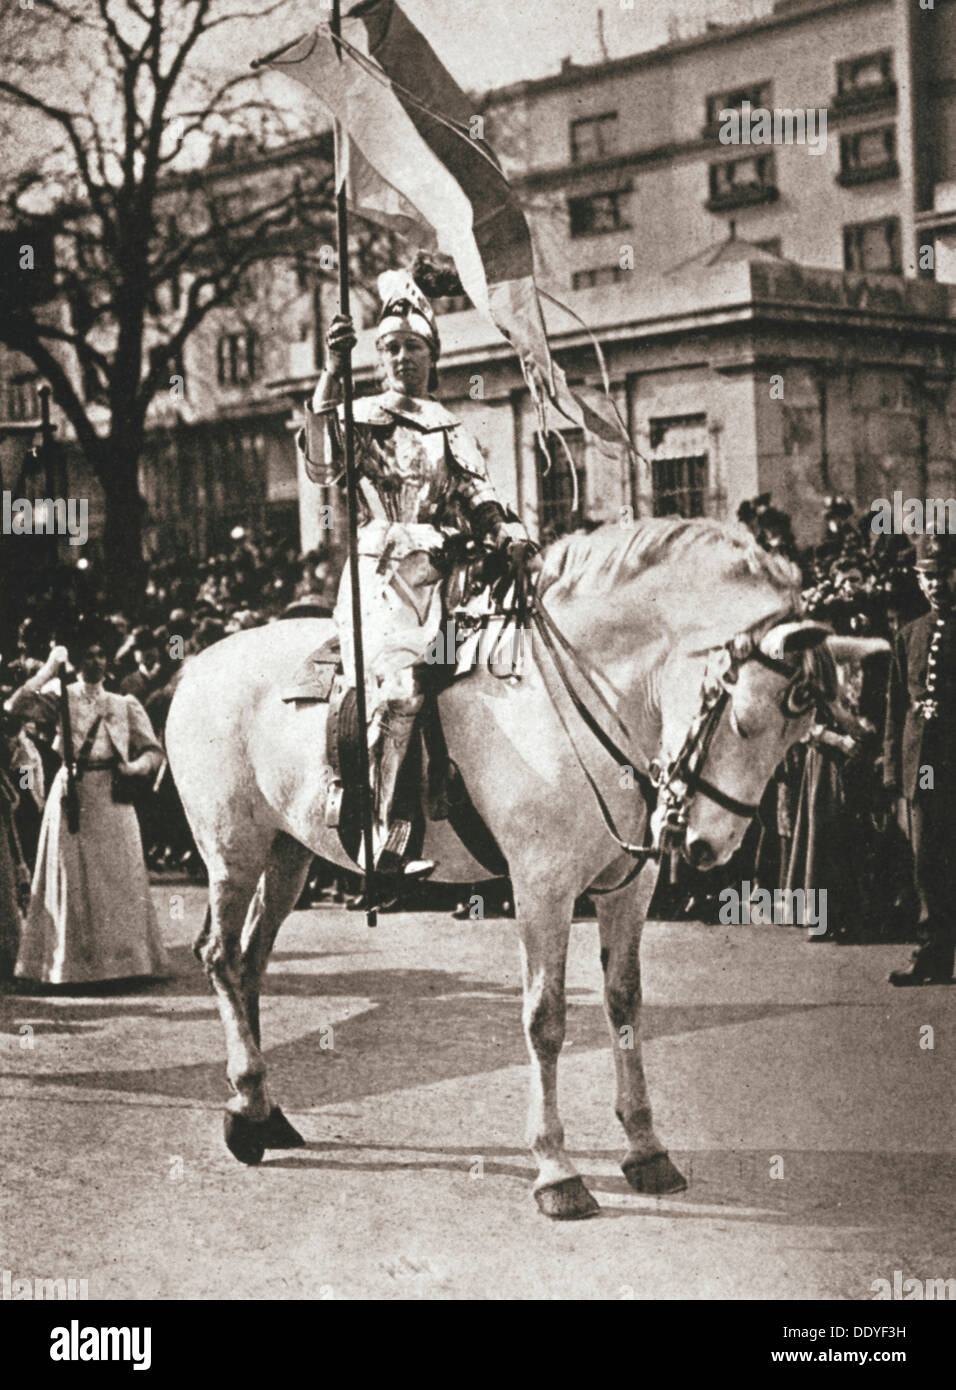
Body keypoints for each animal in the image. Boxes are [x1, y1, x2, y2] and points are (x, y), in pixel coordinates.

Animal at [162, 519, 883, 1217]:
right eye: (744, 718)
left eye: (798, 737)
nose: (709, 847)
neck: (587, 701)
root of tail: (198, 663)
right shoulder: (543, 888)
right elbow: (546, 1018)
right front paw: (556, 1170)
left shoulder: (628, 888)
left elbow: (624, 1002)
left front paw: (646, 1148)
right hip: (233, 852)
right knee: (222, 956)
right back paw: (246, 1109)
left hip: (288, 856)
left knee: (250, 962)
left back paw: (260, 1110)